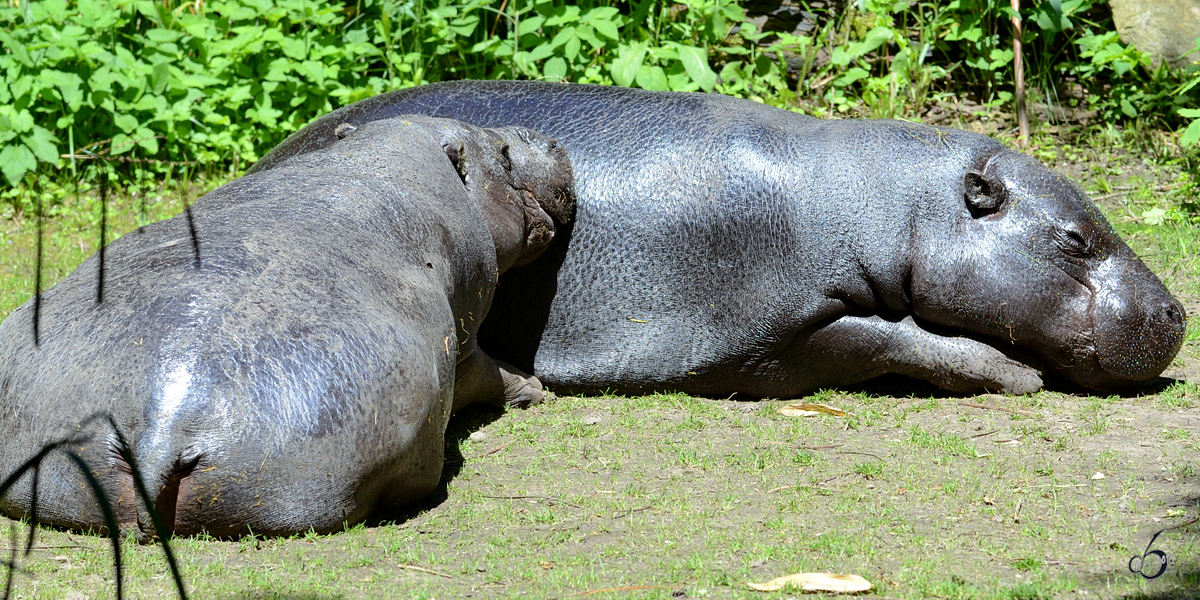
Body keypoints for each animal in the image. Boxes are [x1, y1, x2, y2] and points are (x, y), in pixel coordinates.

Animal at [0, 114, 576, 537]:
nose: (549, 137)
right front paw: (534, 387)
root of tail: (161, 425)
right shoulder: (467, 331)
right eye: (502, 154)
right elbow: (490, 373)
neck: (384, 157)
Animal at [255, 79, 1190, 398]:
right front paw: (1015, 375)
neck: (887, 206)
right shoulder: (769, 341)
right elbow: (897, 337)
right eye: (1076, 238)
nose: (1180, 311)